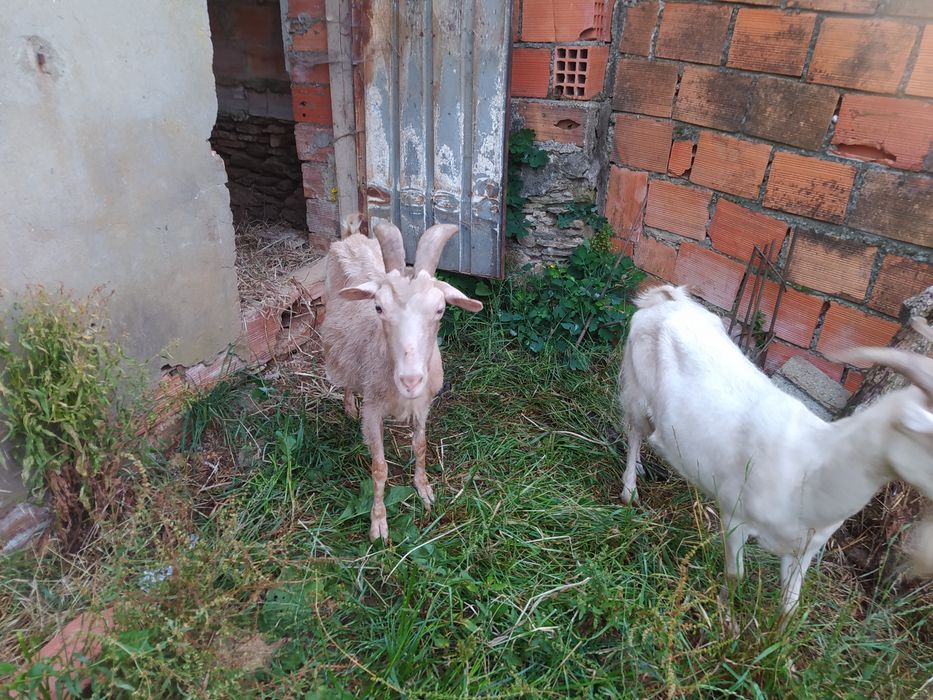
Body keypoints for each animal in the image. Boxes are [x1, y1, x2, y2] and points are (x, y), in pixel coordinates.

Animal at [321, 216, 482, 541]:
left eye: (440, 309)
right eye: (379, 307)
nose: (410, 380)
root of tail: (351, 236)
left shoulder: (423, 404)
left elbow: (420, 446)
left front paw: (425, 491)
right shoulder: (373, 410)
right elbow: (379, 466)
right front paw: (379, 524)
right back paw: (348, 406)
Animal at [619, 284, 933, 623]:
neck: (812, 466)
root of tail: (666, 298)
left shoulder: (804, 549)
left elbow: (790, 606)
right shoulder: (735, 515)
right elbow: (735, 576)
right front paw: (726, 620)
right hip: (636, 388)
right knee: (634, 431)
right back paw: (629, 490)